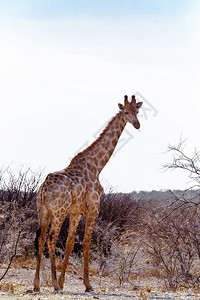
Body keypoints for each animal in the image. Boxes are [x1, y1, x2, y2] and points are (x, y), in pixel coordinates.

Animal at [33, 95, 142, 292]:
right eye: (125, 112)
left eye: (137, 110)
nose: (137, 124)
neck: (97, 166)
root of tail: (43, 189)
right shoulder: (94, 208)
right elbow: (86, 243)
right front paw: (87, 284)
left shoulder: (76, 212)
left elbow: (70, 243)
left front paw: (64, 281)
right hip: (58, 212)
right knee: (51, 238)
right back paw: (54, 284)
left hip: (43, 211)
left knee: (40, 239)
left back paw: (37, 285)